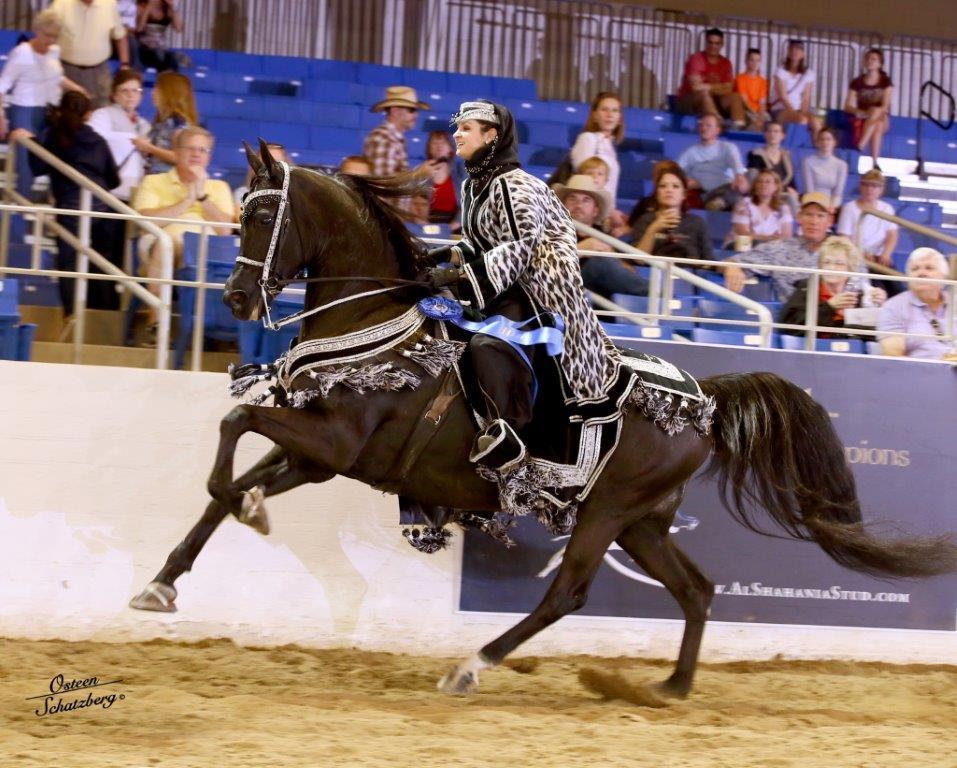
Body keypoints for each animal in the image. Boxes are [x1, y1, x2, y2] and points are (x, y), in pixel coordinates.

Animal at [130, 140, 956, 699]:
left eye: (265, 213)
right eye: (238, 211)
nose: (236, 299)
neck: (376, 323)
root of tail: (704, 399)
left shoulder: (333, 443)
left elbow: (236, 426)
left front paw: (244, 507)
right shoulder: (316, 453)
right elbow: (227, 476)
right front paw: (165, 581)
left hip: (607, 512)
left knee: (569, 594)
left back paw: (472, 665)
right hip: (642, 521)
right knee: (695, 591)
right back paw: (669, 687)